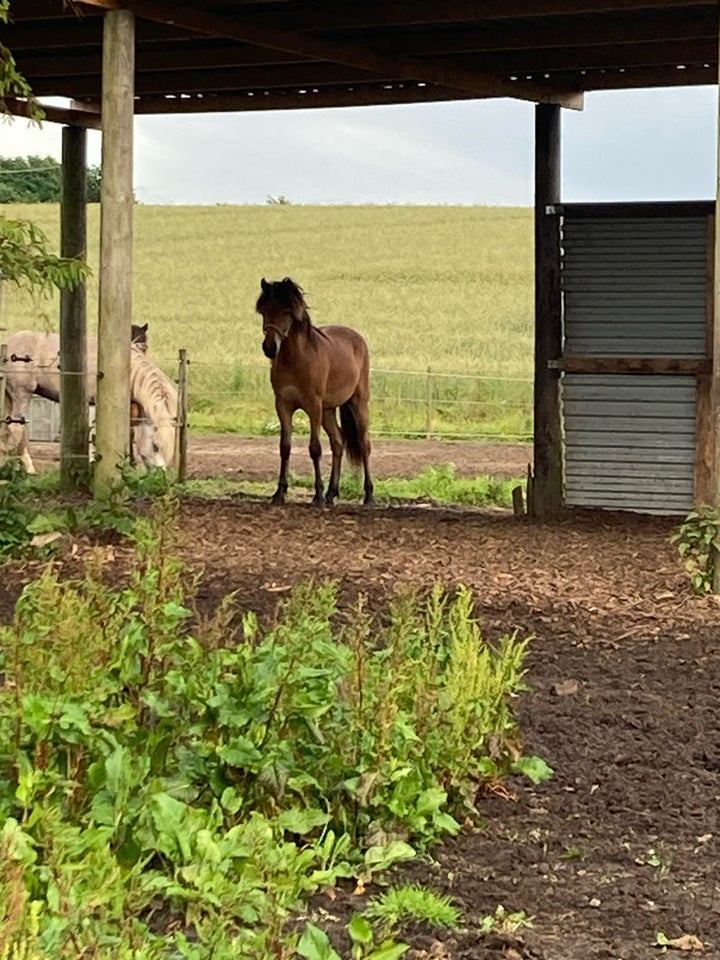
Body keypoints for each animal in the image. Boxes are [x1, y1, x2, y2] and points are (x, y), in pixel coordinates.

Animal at [256, 276, 374, 506]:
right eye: (264, 310)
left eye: (287, 311)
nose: (269, 348)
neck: (297, 360)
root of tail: (357, 338)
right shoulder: (283, 405)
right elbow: (285, 447)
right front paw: (279, 493)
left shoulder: (313, 406)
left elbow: (315, 448)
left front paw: (317, 495)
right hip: (328, 410)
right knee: (338, 442)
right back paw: (331, 493)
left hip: (357, 403)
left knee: (364, 444)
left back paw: (368, 495)